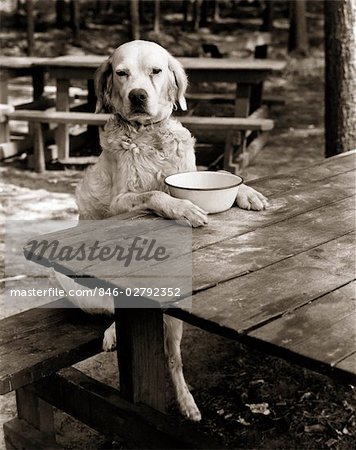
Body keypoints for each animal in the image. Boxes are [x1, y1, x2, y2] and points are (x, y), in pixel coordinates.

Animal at [56, 39, 268, 422]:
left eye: (155, 71)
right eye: (121, 73)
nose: (138, 95)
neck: (148, 135)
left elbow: (224, 179)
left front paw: (247, 192)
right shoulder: (121, 201)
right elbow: (156, 193)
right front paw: (185, 208)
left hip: (173, 321)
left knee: (173, 359)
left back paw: (187, 404)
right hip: (75, 288)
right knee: (117, 314)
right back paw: (112, 333)